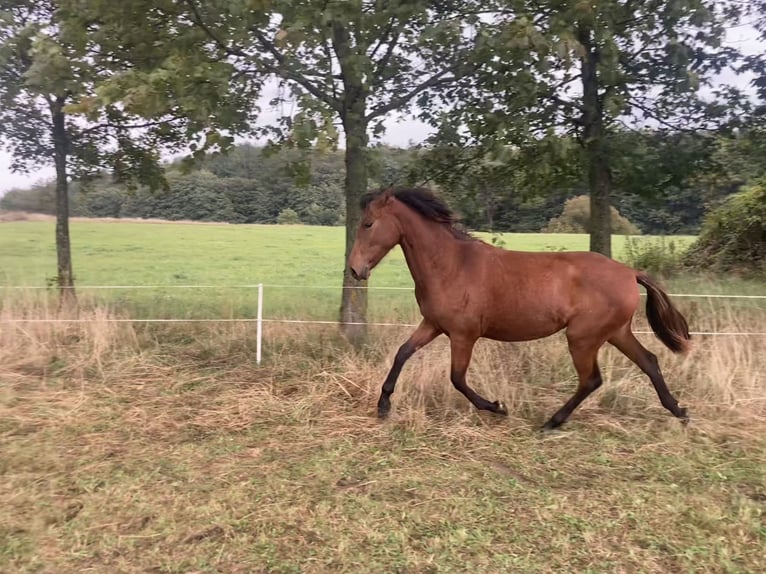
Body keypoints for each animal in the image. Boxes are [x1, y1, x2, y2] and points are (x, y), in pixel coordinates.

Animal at [350, 187, 696, 430]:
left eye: (368, 223)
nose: (355, 270)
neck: (451, 265)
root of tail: (629, 272)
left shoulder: (463, 335)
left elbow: (457, 378)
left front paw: (497, 407)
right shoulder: (433, 325)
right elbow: (402, 353)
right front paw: (383, 406)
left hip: (583, 337)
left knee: (592, 380)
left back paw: (552, 422)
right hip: (615, 332)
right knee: (649, 362)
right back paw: (679, 411)